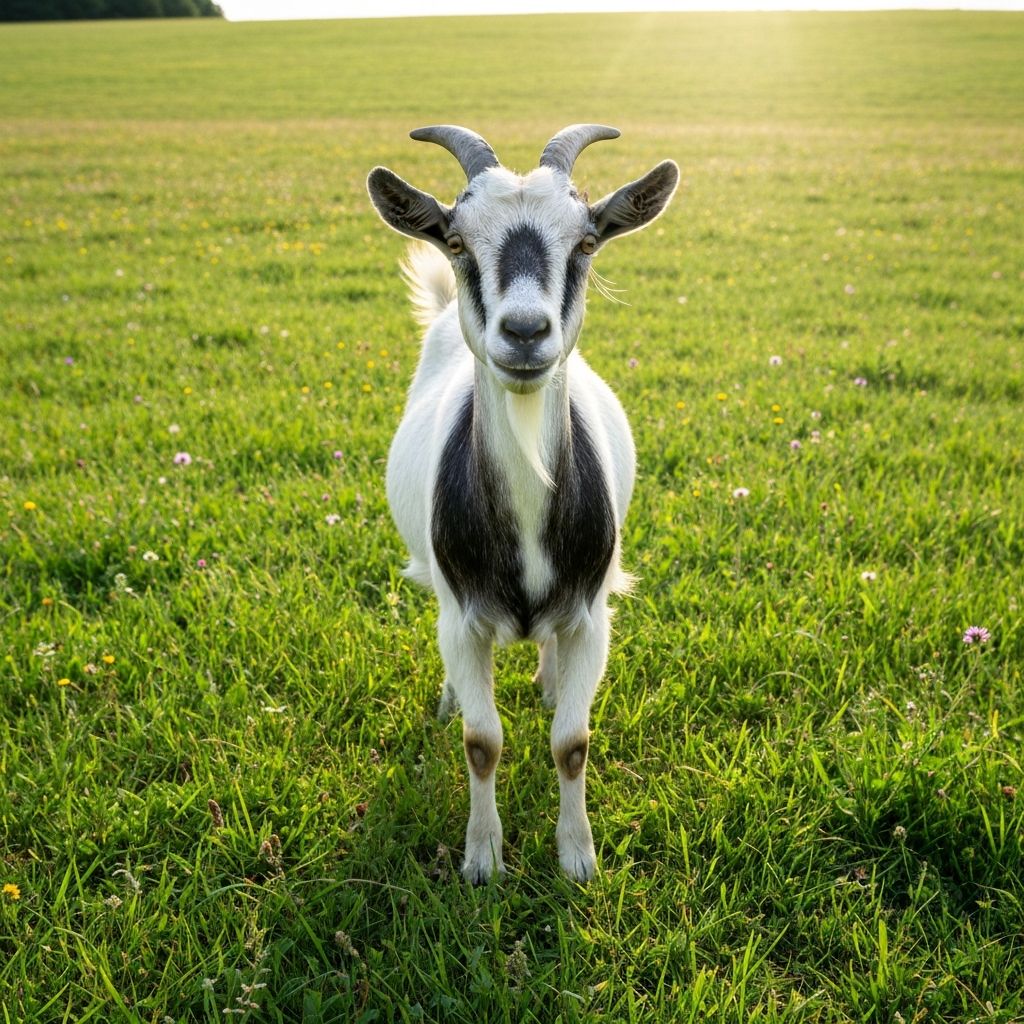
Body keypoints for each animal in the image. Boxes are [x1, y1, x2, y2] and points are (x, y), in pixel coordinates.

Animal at [367, 125, 678, 883]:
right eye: (455, 239)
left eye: (588, 241)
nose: (527, 331)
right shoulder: (462, 618)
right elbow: (482, 741)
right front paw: (483, 860)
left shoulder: (593, 618)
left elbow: (572, 740)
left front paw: (577, 858)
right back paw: (451, 699)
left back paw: (547, 680)